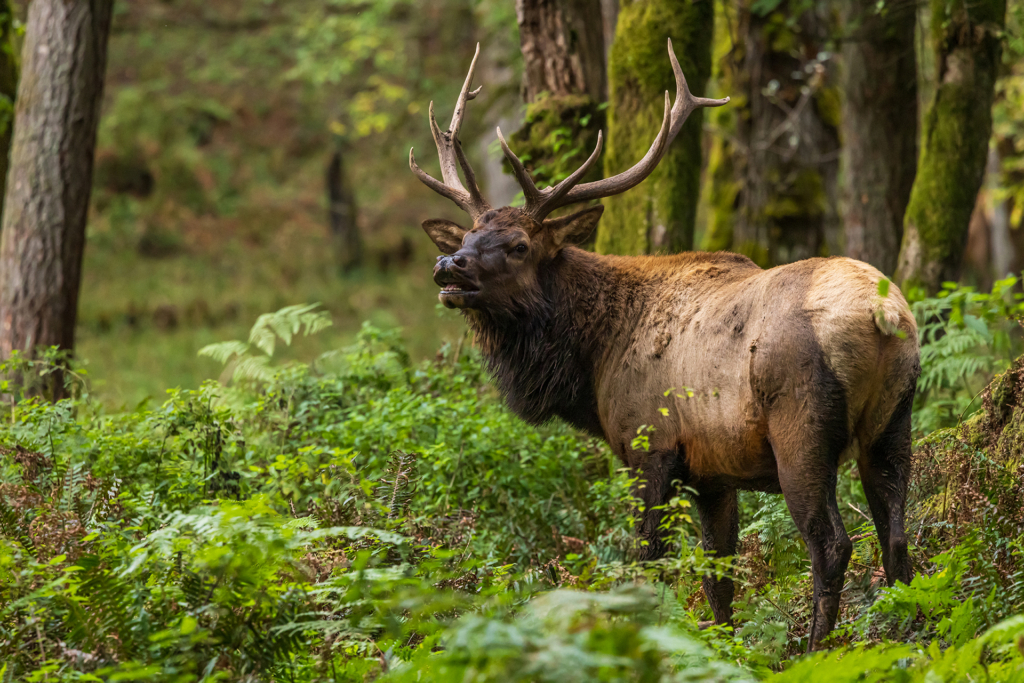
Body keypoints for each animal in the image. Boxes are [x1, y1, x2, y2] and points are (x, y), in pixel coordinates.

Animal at [409, 41, 920, 649]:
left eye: (518, 245)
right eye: (467, 235)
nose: (448, 265)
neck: (592, 363)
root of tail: (883, 314)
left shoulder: (648, 446)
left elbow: (647, 561)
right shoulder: (713, 472)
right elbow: (718, 573)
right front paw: (723, 645)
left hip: (802, 427)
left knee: (832, 544)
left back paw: (815, 649)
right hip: (895, 420)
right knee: (897, 537)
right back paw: (911, 634)